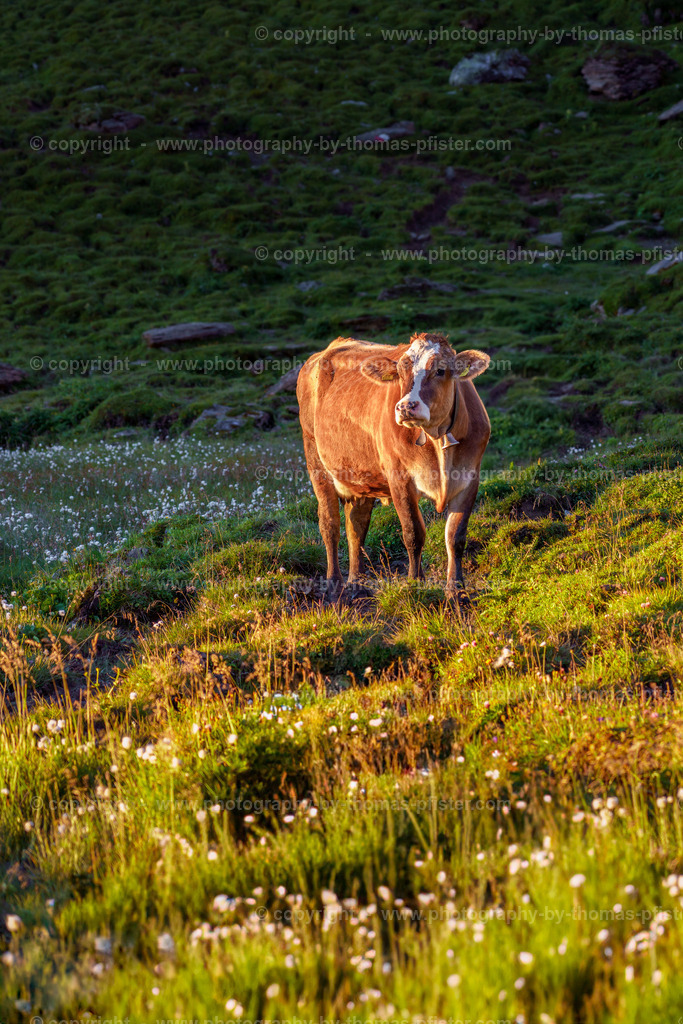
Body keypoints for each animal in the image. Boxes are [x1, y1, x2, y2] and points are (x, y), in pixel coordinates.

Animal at [296, 331, 490, 597]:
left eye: (440, 370)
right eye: (399, 372)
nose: (406, 406)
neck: (437, 439)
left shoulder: (470, 478)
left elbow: (455, 536)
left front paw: (456, 589)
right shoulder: (400, 479)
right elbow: (413, 533)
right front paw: (415, 583)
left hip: (360, 475)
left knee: (356, 526)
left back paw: (357, 581)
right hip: (315, 458)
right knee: (330, 525)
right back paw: (334, 585)